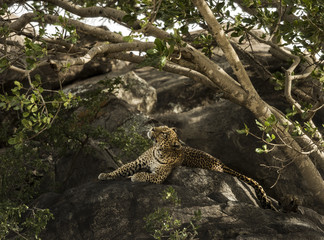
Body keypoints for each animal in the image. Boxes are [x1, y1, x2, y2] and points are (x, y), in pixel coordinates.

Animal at [97, 124, 278, 211]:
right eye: (161, 127)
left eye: (164, 133)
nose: (152, 128)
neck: (159, 151)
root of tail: (221, 163)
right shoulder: (137, 162)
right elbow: (121, 169)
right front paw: (105, 175)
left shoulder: (159, 175)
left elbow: (146, 175)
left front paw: (136, 176)